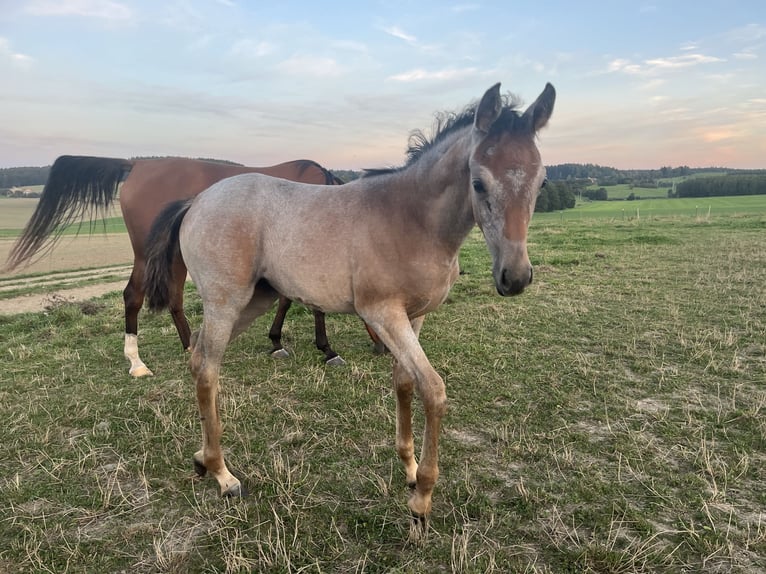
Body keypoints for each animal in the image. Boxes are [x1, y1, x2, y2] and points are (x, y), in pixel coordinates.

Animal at [2, 156, 376, 378]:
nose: (382, 347)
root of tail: (136, 164)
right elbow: (311, 304)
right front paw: (327, 349)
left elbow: (288, 300)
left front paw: (277, 342)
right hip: (149, 255)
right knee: (133, 296)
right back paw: (137, 362)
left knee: (174, 299)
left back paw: (188, 347)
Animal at [144, 83, 556, 544]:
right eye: (479, 182)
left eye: (541, 180)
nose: (515, 278)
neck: (411, 218)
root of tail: (197, 200)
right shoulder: (382, 314)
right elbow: (433, 390)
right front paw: (421, 503)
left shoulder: (413, 317)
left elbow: (404, 384)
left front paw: (409, 469)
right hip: (225, 302)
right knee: (208, 370)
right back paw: (223, 475)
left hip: (254, 302)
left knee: (198, 357)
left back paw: (201, 459)